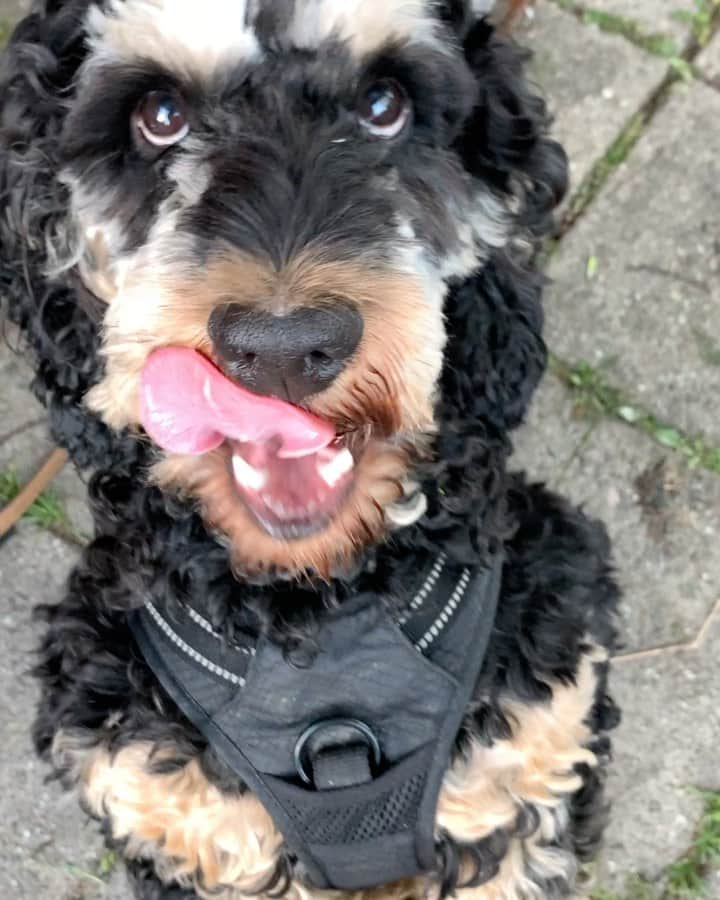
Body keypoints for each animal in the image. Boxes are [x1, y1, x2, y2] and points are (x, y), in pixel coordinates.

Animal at [0, 1, 620, 900]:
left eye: (384, 103)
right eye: (160, 115)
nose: (285, 350)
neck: (311, 608)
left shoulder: (521, 766)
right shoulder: (170, 804)